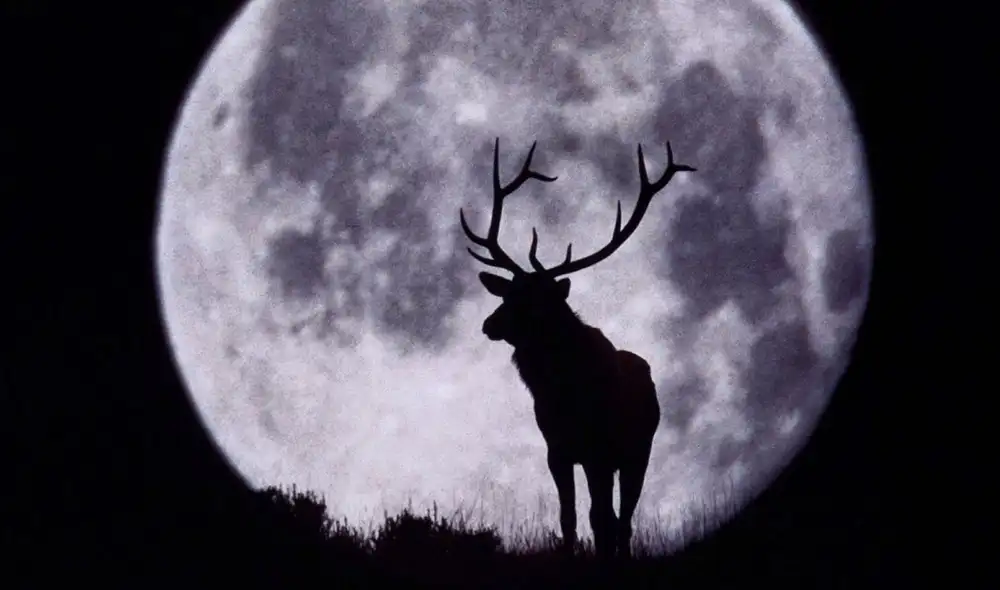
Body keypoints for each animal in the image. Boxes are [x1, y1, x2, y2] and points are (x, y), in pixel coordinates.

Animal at [459, 138, 696, 560]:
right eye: (508, 293)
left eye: (535, 300)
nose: (489, 324)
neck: (564, 392)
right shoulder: (558, 449)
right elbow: (568, 518)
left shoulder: (599, 450)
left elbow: (600, 519)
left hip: (638, 452)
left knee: (623, 519)